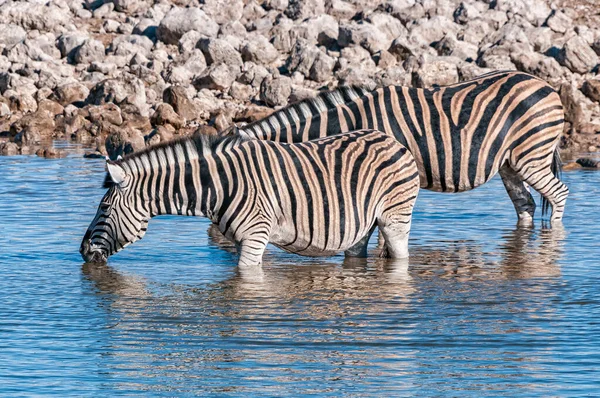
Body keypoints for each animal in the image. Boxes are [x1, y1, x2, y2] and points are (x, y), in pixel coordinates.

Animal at [78, 131, 418, 268]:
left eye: (104, 208)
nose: (82, 252)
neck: (216, 186)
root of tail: (390, 139)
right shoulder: (243, 241)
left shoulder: (255, 237)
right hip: (361, 229)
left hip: (395, 219)